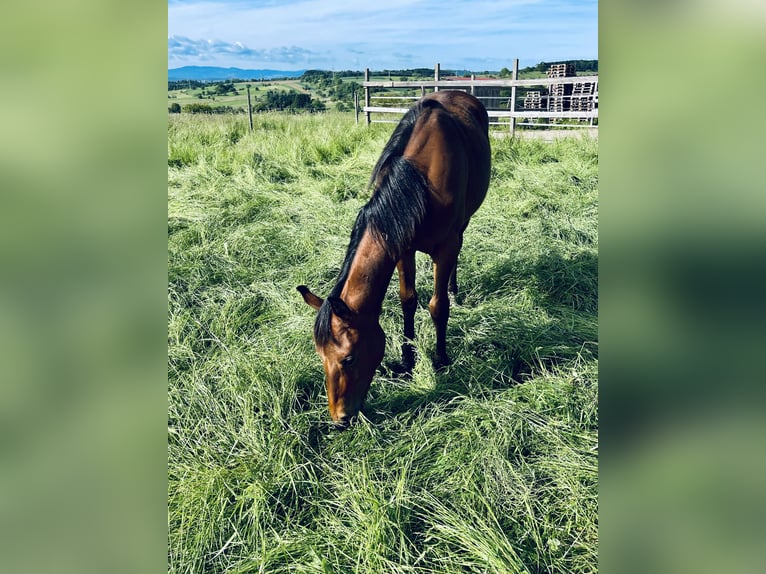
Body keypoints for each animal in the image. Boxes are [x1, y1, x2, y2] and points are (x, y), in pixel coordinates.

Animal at [297, 90, 491, 428]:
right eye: (320, 355)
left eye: (348, 358)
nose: (339, 418)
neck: (421, 182)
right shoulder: (402, 246)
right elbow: (407, 300)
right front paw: (407, 359)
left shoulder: (445, 247)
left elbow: (437, 307)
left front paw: (441, 360)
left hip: (463, 226)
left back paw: (454, 290)